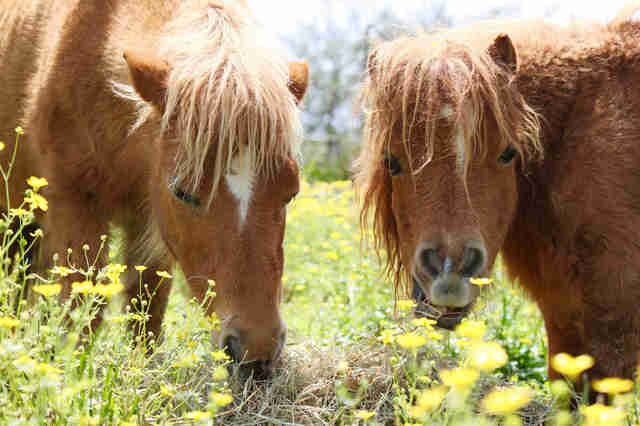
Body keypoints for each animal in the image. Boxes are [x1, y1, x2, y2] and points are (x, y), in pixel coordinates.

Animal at [0, 0, 308, 378]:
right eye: (184, 193)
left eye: (290, 193)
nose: (256, 353)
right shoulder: (75, 209)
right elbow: (81, 310)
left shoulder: (149, 226)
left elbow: (147, 311)